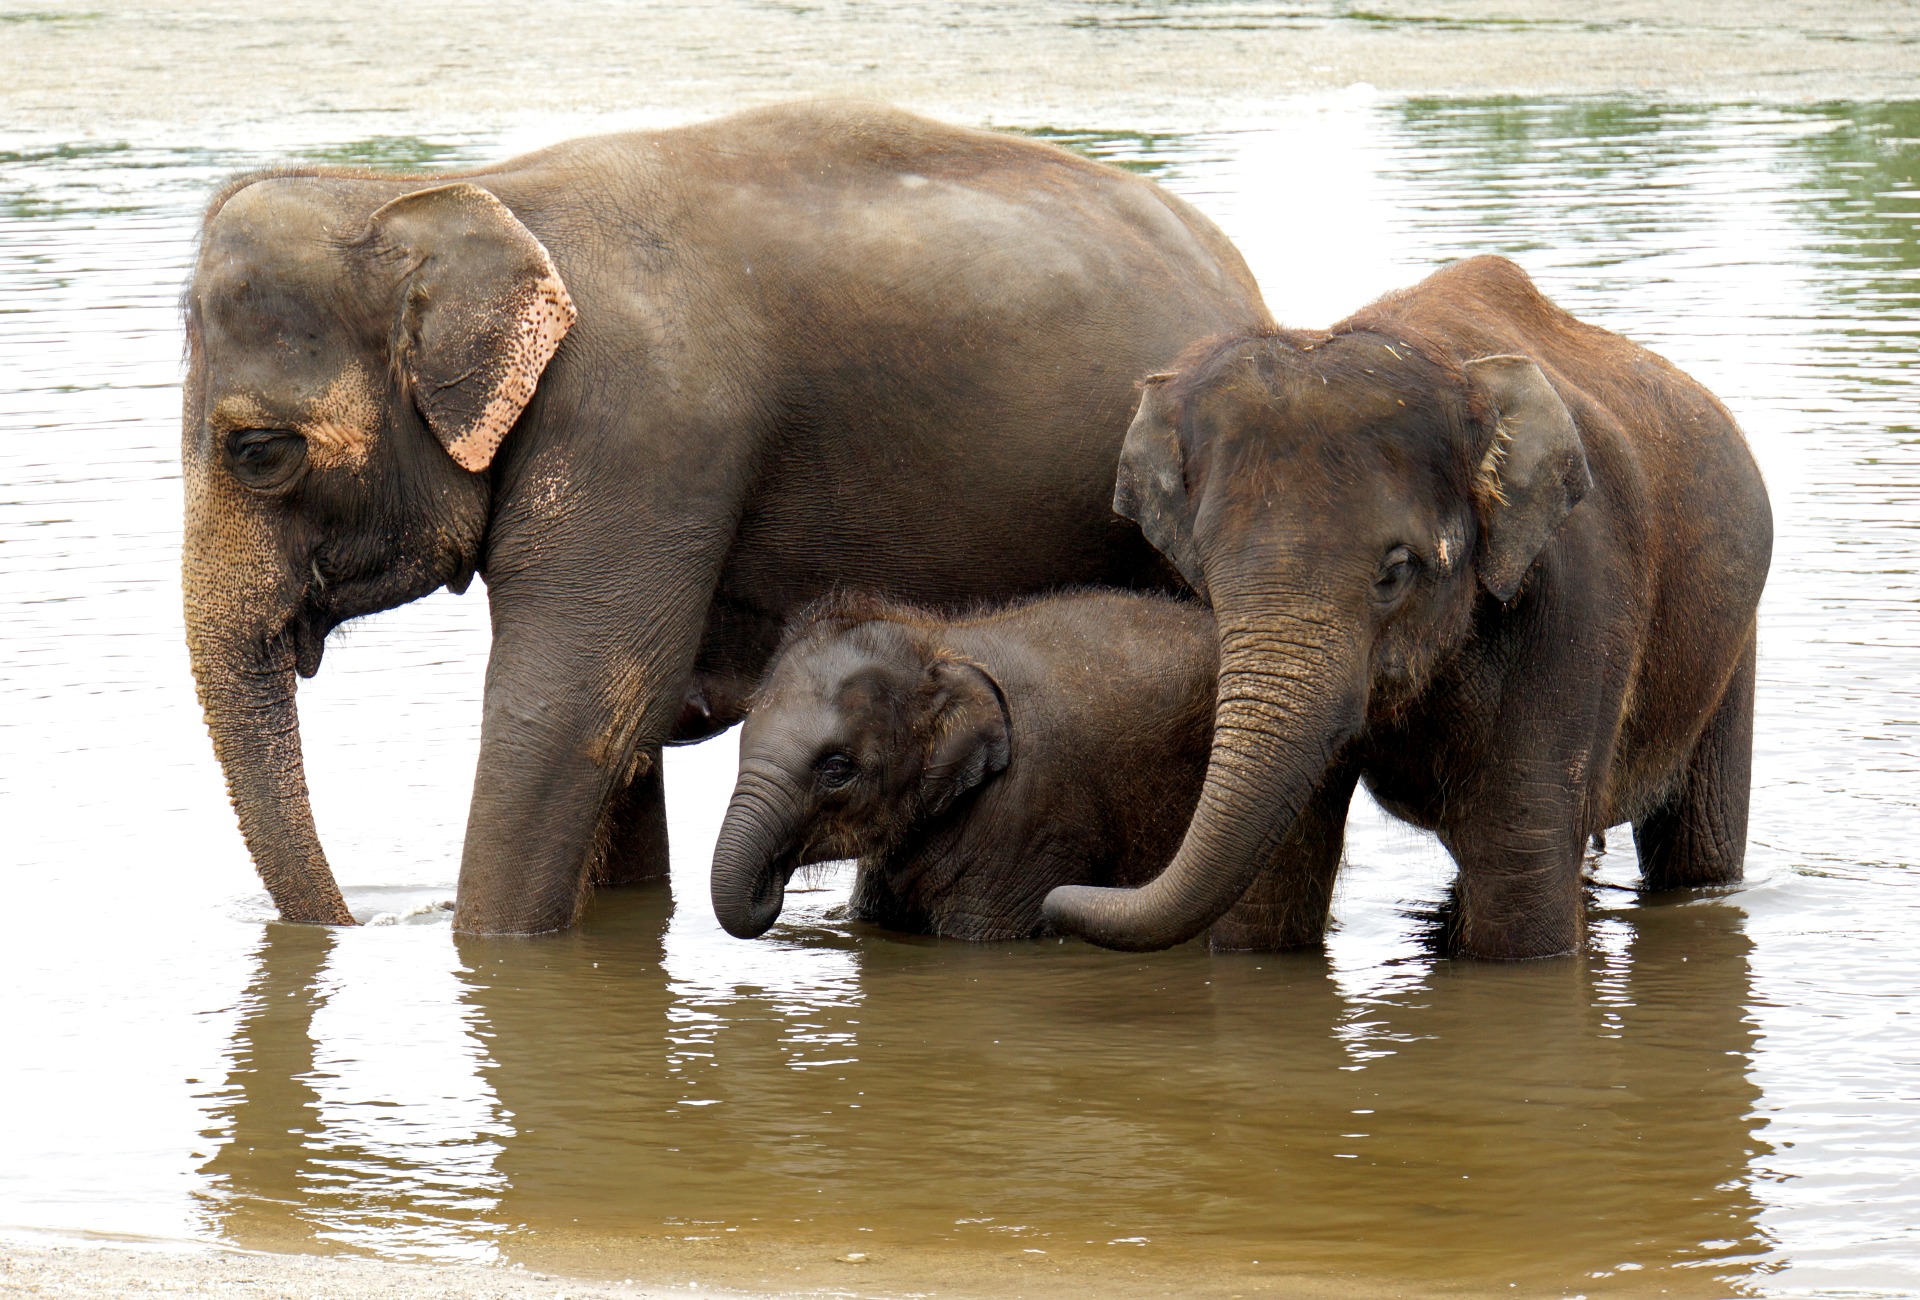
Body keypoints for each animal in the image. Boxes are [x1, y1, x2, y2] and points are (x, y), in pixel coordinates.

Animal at [176, 101, 1259, 933]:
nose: (359, 924)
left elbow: (568, 712)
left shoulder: (637, 425)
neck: (459, 192)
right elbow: (626, 736)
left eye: (258, 452)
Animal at [1044, 259, 1774, 960]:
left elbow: (1521, 869)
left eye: (1394, 572)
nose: (1057, 901)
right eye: (1204, 574)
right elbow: (1276, 876)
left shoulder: (1579, 599)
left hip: (1733, 646)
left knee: (1695, 845)